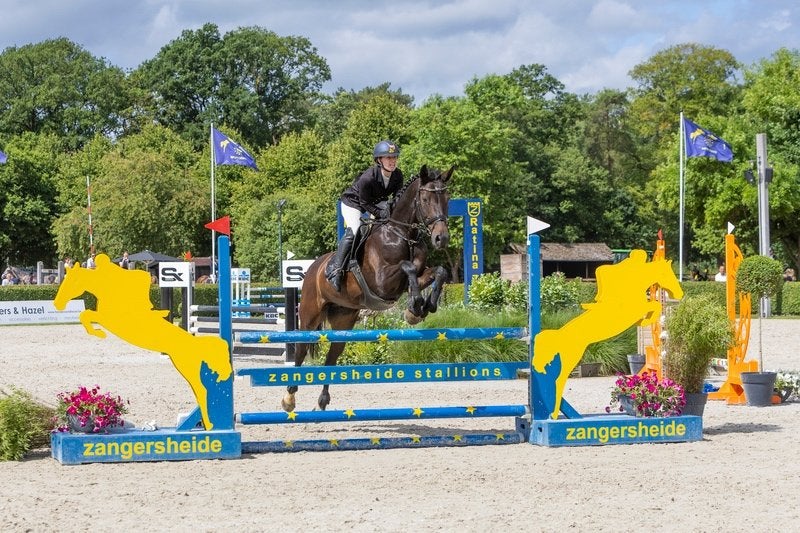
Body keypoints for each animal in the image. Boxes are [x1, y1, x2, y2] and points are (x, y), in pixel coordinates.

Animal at [53, 254, 232, 430]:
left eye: (73, 282)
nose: (57, 304)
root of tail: (196, 345)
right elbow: (85, 315)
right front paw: (97, 332)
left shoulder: (110, 320)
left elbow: (86, 314)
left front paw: (99, 333)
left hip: (186, 366)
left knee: (201, 390)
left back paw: (209, 425)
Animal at [281, 164, 454, 412]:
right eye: (424, 198)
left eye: (447, 197)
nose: (442, 238)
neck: (402, 235)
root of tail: (313, 268)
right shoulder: (383, 282)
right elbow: (408, 266)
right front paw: (414, 307)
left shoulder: (412, 278)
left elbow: (439, 271)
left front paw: (422, 308)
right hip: (309, 317)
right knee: (301, 350)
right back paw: (289, 399)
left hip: (343, 319)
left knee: (332, 357)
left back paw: (322, 401)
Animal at [531, 250, 684, 419]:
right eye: (667, 274)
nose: (680, 294)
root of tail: (559, 335)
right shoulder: (634, 310)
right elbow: (654, 305)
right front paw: (647, 320)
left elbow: (654, 306)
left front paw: (647, 321)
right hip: (572, 357)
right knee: (559, 380)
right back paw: (554, 414)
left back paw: (554, 413)